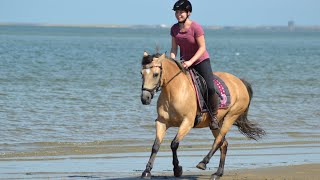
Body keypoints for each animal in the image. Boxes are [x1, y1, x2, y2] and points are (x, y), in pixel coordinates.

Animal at [140, 51, 264, 179]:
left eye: (155, 74)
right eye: (141, 74)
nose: (145, 98)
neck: (174, 91)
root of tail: (239, 81)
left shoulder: (187, 122)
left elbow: (174, 144)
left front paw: (177, 169)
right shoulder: (162, 122)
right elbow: (155, 146)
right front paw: (147, 171)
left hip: (231, 116)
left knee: (219, 141)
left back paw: (203, 163)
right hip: (216, 123)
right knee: (224, 144)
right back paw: (218, 173)